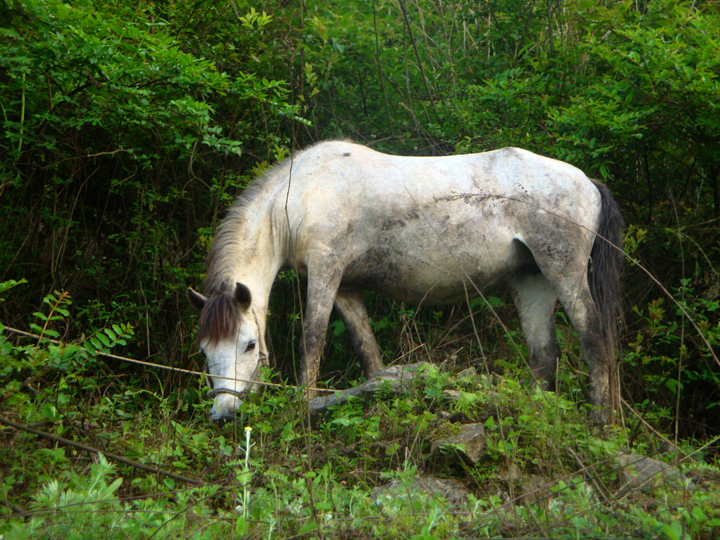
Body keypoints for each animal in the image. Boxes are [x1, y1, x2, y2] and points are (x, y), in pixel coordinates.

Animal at [188, 141, 620, 424]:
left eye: (249, 344)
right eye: (206, 350)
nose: (223, 413)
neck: (303, 192)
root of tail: (587, 182)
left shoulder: (326, 270)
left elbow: (312, 340)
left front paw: (303, 410)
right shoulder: (346, 287)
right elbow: (368, 351)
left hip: (563, 272)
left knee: (594, 339)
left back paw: (598, 423)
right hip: (532, 282)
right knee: (544, 354)